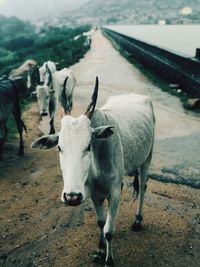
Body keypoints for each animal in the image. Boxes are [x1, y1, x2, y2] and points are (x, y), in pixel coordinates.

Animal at [30, 77, 155, 266]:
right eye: (59, 147)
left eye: (88, 145)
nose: (71, 196)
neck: (96, 171)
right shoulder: (94, 195)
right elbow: (101, 222)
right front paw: (100, 251)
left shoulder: (115, 193)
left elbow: (109, 230)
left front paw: (109, 260)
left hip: (147, 158)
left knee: (142, 187)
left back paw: (138, 221)